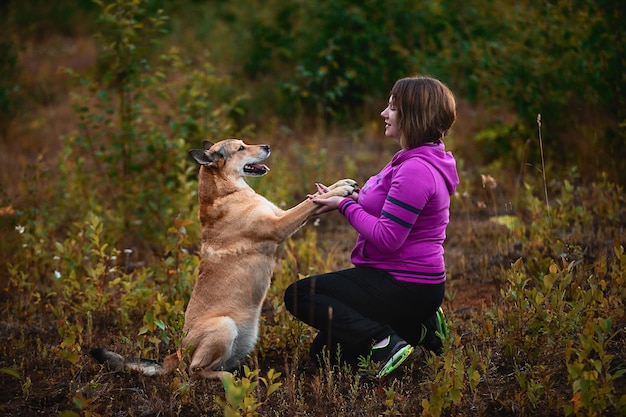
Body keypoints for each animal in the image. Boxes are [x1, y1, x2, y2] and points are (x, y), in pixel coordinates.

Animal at [92, 138, 356, 378]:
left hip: (243, 340)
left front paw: (341, 184)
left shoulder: (279, 214)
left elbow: (310, 201)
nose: (268, 146)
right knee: (195, 371)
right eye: (240, 148)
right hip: (224, 327)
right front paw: (341, 191)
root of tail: (176, 354)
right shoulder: (279, 225)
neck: (228, 191)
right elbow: (308, 205)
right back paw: (228, 379)